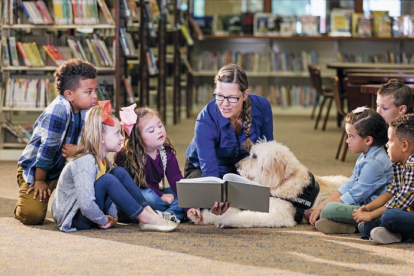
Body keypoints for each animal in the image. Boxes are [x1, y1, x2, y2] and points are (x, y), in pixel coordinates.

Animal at [189, 141, 348, 227]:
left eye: (254, 156)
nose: (237, 165)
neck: (282, 182)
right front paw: (200, 216)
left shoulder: (278, 215)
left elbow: (247, 216)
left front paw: (225, 220)